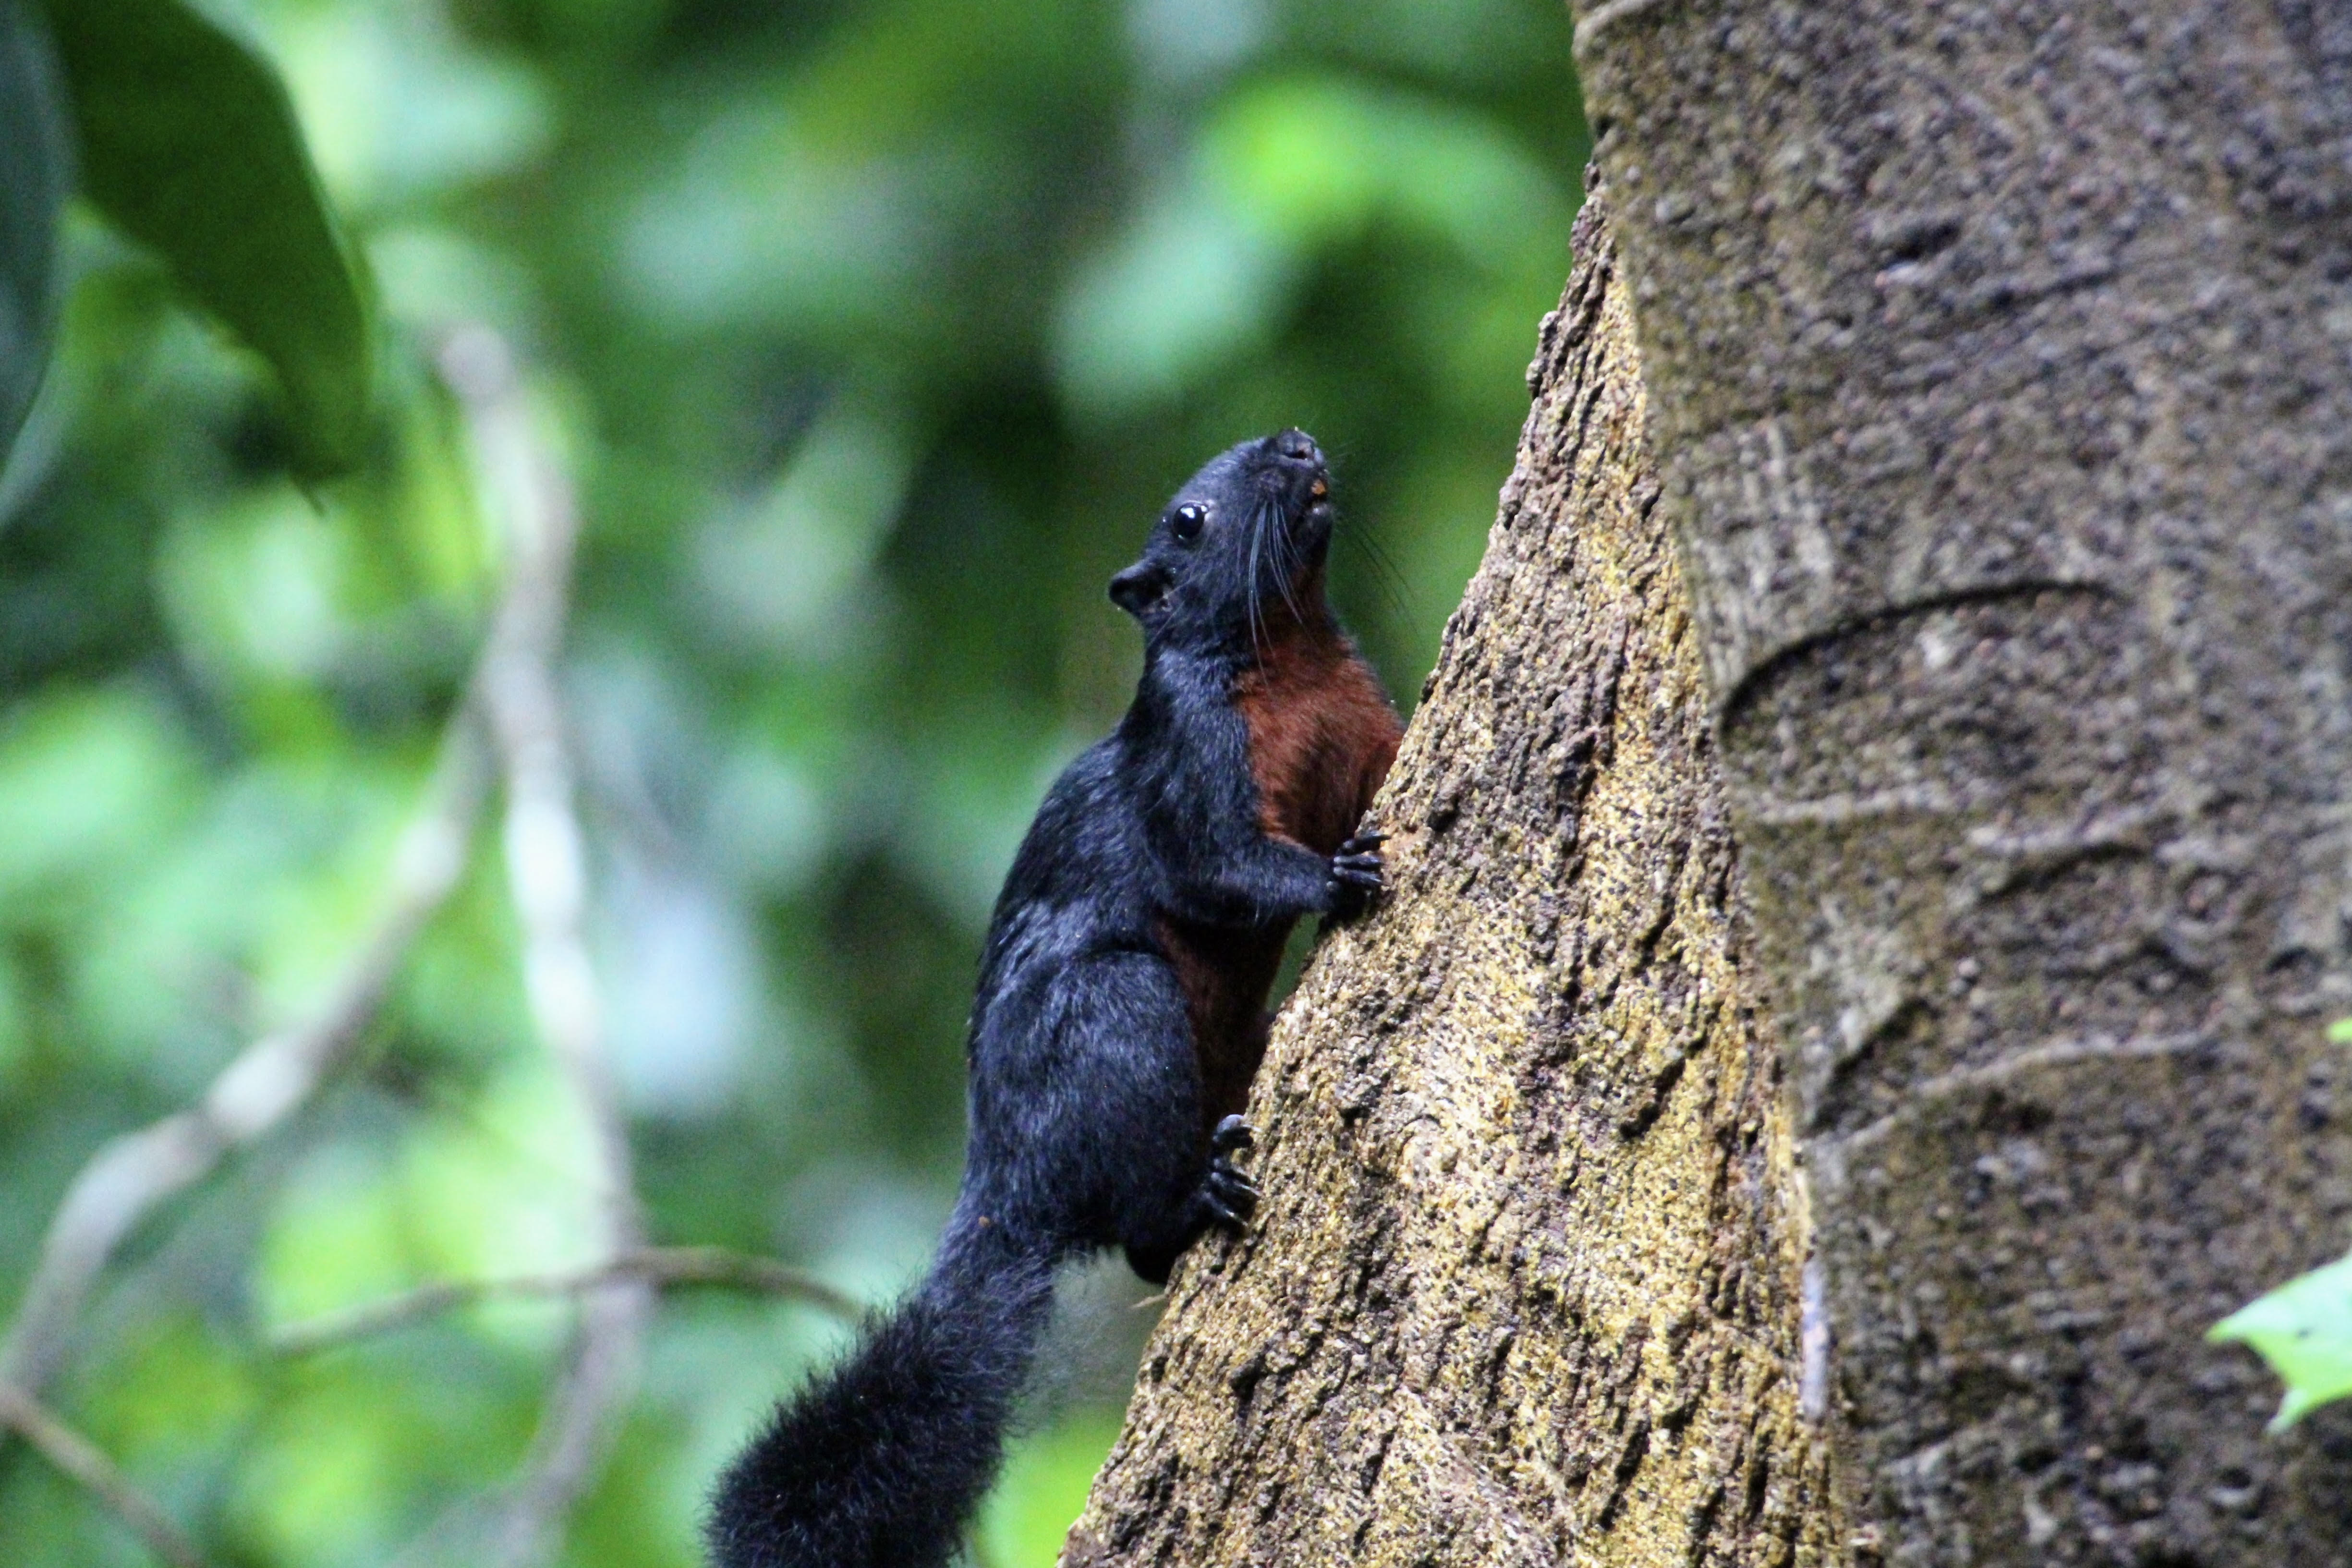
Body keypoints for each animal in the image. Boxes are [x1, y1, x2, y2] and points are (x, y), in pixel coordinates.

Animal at [705, 428, 1404, 1568]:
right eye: (1188, 521)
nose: (1295, 444)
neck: (1289, 652)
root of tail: (1005, 1188)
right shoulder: (1185, 757)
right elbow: (1218, 867)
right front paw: (1331, 881)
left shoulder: (1365, 724)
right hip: (1117, 1021)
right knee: (1138, 1224)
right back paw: (1195, 1198)